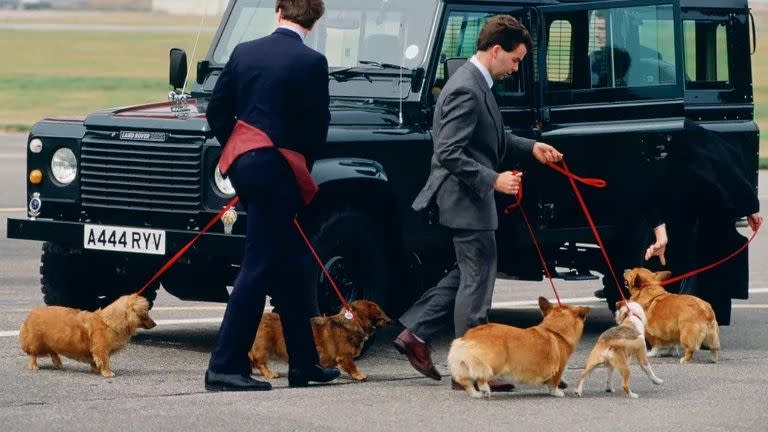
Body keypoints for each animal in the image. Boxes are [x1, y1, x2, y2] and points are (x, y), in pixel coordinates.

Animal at [19, 296, 156, 376]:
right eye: (145, 313)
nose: (155, 324)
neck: (108, 323)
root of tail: (31, 314)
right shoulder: (101, 350)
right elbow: (104, 361)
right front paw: (107, 372)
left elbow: (95, 361)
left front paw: (95, 369)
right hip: (36, 343)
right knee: (33, 355)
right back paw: (34, 366)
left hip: (51, 341)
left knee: (53, 352)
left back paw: (58, 363)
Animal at [249, 300, 390, 382]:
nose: (390, 320)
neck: (352, 321)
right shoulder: (345, 356)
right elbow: (352, 366)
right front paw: (359, 375)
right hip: (264, 346)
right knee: (259, 362)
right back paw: (269, 373)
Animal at [448, 296, 592, 398]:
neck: (554, 331)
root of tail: (467, 338)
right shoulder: (559, 367)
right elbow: (553, 382)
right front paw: (557, 392)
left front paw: (563, 383)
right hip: (491, 364)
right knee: (481, 378)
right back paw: (485, 389)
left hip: (465, 365)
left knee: (467, 383)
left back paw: (476, 394)